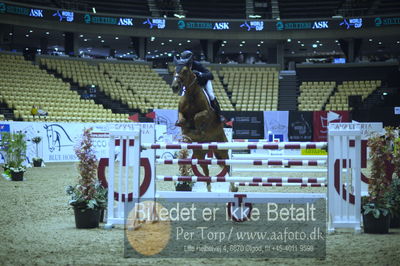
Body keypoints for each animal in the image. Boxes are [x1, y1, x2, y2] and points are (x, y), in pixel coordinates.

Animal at [170, 56, 238, 192]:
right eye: (174, 69)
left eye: (185, 71)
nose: (174, 87)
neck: (191, 95)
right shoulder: (181, 113)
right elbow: (182, 120)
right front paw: (186, 130)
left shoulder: (206, 113)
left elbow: (197, 116)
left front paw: (197, 129)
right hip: (200, 153)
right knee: (205, 169)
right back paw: (209, 188)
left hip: (221, 150)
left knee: (227, 166)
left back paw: (233, 187)